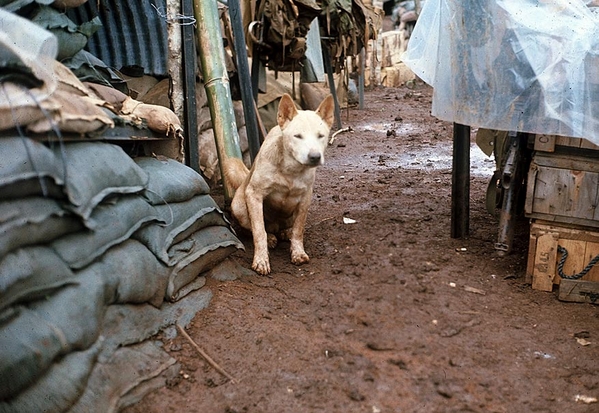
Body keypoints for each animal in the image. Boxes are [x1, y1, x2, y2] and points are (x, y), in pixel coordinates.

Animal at [226, 91, 338, 276]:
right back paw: (271, 237)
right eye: (298, 136)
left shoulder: (305, 199)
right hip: (239, 206)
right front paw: (261, 260)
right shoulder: (254, 194)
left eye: (321, 136)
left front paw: (298, 252)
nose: (314, 157)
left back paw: (285, 233)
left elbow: (299, 230)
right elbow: (259, 232)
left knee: (289, 229)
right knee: (256, 229)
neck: (290, 170)